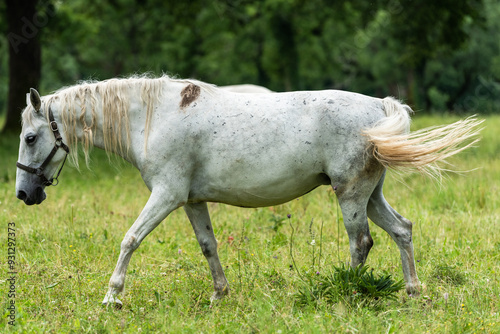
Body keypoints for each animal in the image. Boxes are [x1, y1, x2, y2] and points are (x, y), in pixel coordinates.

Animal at [14, 75, 480, 308]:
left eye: (31, 138)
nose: (22, 194)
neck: (152, 115)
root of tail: (380, 106)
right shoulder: (191, 200)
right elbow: (208, 246)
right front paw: (219, 294)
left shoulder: (166, 195)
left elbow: (130, 239)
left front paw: (112, 296)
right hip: (371, 194)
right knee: (402, 229)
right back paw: (413, 291)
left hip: (350, 195)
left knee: (361, 241)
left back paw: (346, 292)